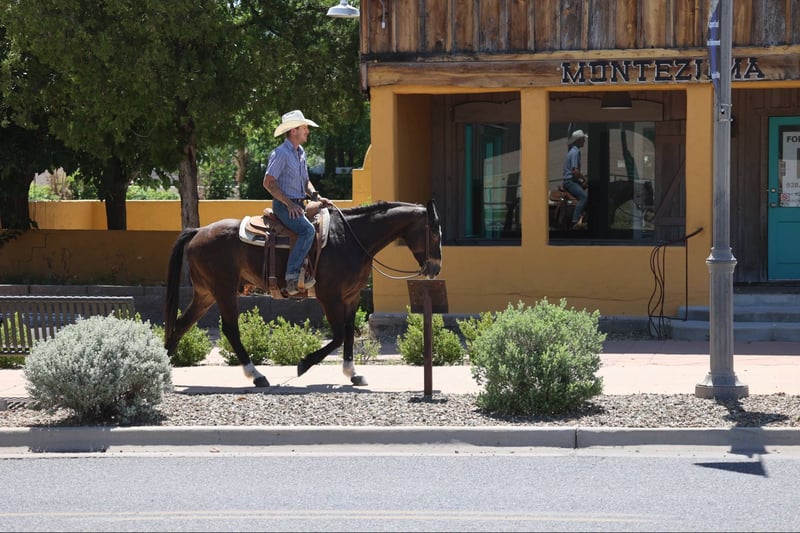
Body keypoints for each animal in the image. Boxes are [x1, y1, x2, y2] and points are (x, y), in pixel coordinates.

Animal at [163, 200, 442, 388]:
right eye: (433, 231)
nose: (435, 268)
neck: (350, 239)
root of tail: (198, 232)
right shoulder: (330, 297)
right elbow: (339, 335)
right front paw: (304, 364)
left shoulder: (350, 297)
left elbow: (349, 333)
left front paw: (352, 373)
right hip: (224, 291)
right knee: (230, 330)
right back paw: (257, 375)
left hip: (206, 294)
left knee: (181, 325)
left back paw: (165, 369)